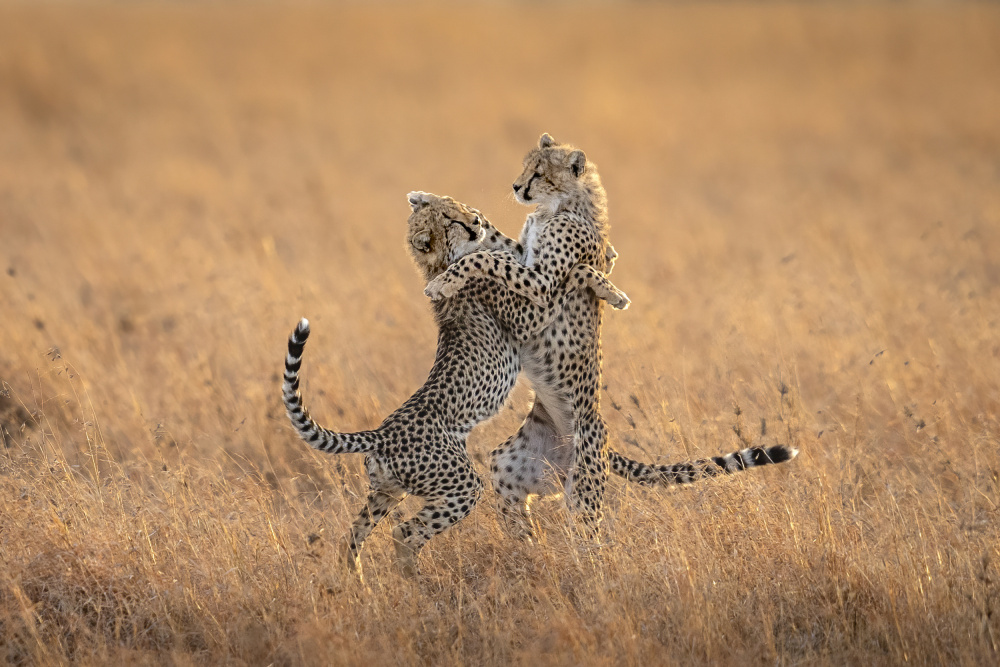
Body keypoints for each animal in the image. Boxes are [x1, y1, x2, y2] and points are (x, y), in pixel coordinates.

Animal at [282, 193, 624, 580]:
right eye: (451, 221)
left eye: (456, 207)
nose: (475, 221)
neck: (443, 263)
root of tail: (381, 433)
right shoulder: (528, 316)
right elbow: (561, 280)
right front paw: (600, 282)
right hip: (461, 485)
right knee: (404, 532)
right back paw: (416, 581)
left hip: (387, 491)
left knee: (351, 537)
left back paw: (360, 584)